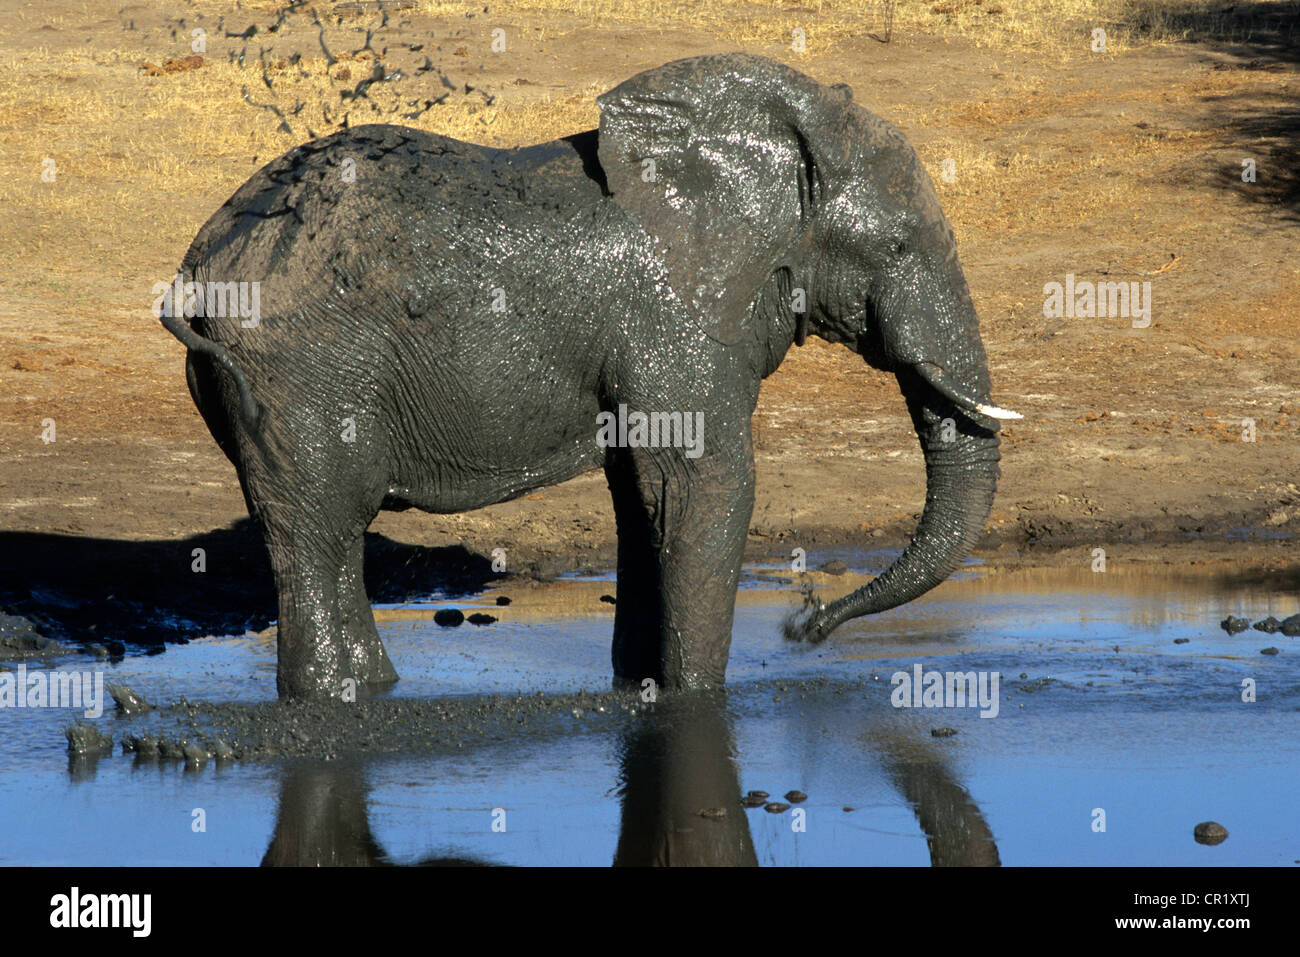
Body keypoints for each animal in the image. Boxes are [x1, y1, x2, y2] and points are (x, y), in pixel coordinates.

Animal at [160, 53, 1018, 701]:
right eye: (900, 246)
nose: (805, 625)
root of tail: (197, 266)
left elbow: (644, 496)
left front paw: (642, 691)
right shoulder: (676, 314)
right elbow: (709, 485)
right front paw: (697, 700)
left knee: (329, 536)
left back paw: (369, 691)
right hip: (302, 372)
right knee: (316, 531)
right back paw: (330, 698)